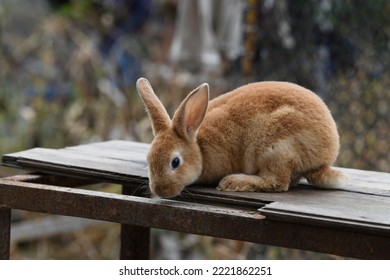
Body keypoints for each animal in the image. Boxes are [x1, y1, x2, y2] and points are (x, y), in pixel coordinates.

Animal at [136, 77, 346, 198]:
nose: (160, 191)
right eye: (148, 159)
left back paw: (232, 182)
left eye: (175, 162)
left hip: (276, 149)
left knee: (278, 182)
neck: (200, 148)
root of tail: (323, 159)